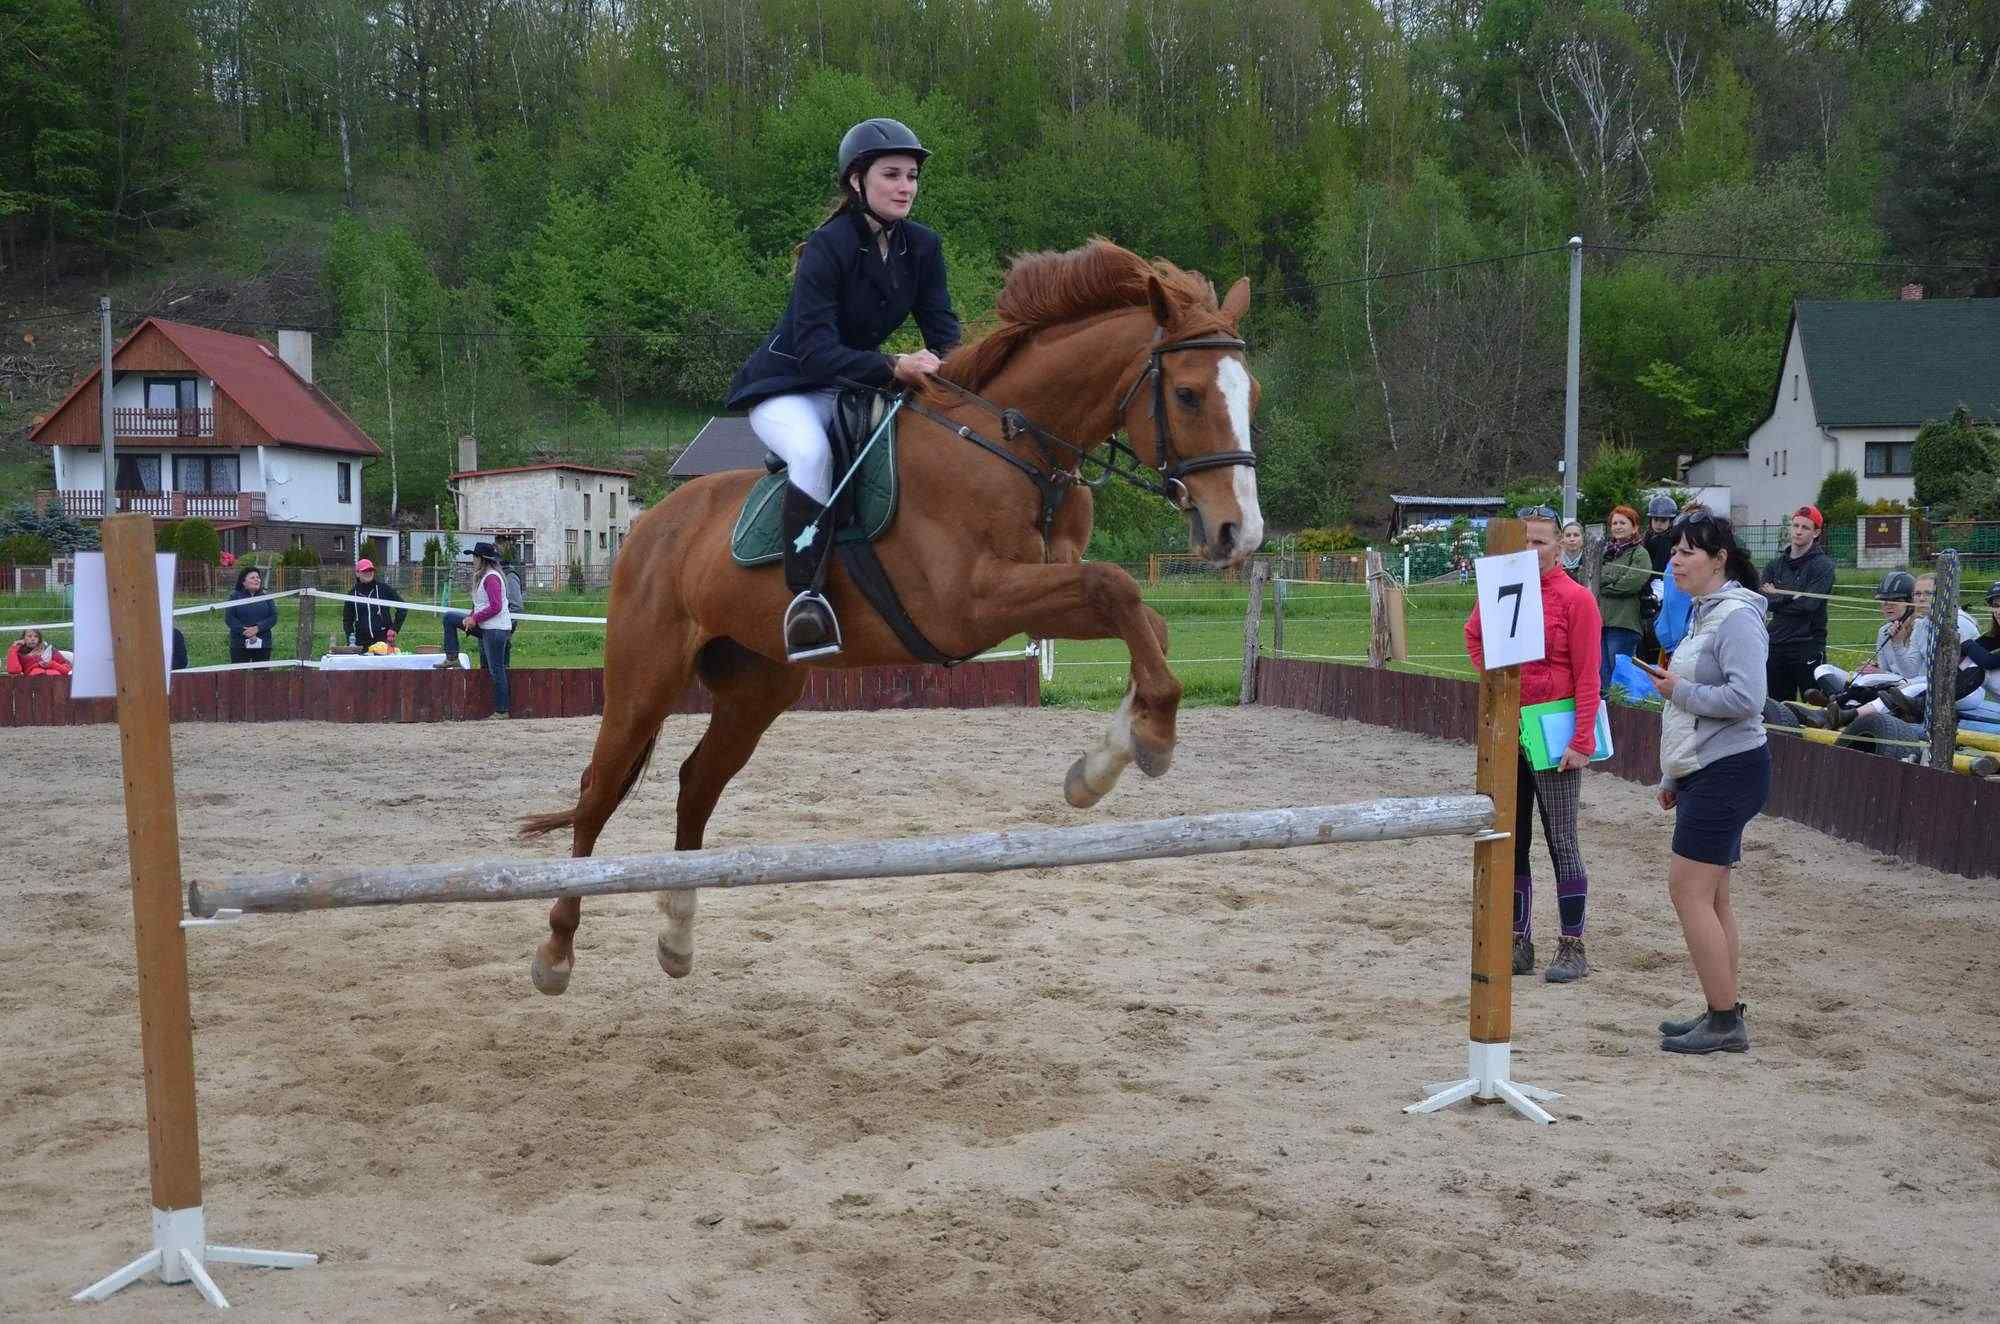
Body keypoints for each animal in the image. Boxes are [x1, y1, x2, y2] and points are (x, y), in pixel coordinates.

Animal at [520, 244, 1264, 996]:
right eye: (1188, 394)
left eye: (1251, 396)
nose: (1238, 533)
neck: (1018, 450)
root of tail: (649, 526)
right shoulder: (972, 605)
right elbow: (1115, 587)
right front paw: (1151, 740)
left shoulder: (1043, 588)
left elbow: (1140, 619)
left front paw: (1106, 761)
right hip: (644, 679)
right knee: (597, 791)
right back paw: (556, 951)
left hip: (760, 686)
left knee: (696, 783)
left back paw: (676, 935)